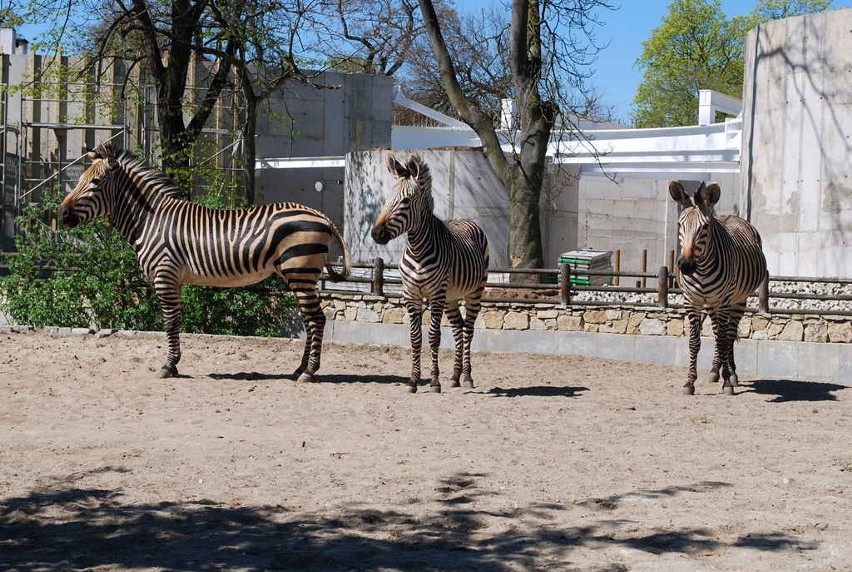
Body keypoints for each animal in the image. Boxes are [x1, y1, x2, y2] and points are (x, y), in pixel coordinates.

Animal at [59, 141, 350, 382]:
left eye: (96, 182)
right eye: (80, 179)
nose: (61, 214)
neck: (150, 220)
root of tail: (320, 214)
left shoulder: (165, 275)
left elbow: (170, 321)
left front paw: (168, 366)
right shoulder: (174, 279)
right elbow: (176, 320)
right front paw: (174, 364)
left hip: (300, 270)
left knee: (316, 319)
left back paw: (309, 372)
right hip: (300, 275)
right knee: (309, 320)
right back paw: (299, 369)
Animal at [370, 152, 490, 394]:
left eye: (405, 201)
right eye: (386, 199)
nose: (376, 234)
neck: (417, 249)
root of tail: (466, 220)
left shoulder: (436, 294)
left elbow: (434, 336)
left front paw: (434, 381)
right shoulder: (411, 294)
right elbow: (415, 338)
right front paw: (413, 381)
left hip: (474, 291)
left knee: (469, 329)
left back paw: (467, 376)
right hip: (451, 296)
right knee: (458, 328)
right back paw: (454, 376)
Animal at [668, 181, 768, 396]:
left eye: (705, 227)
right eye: (680, 225)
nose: (686, 266)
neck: (702, 269)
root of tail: (731, 215)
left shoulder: (723, 301)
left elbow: (724, 339)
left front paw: (727, 382)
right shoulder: (692, 300)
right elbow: (694, 341)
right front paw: (690, 382)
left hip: (737, 300)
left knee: (728, 334)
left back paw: (731, 373)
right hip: (712, 304)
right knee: (717, 333)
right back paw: (716, 369)